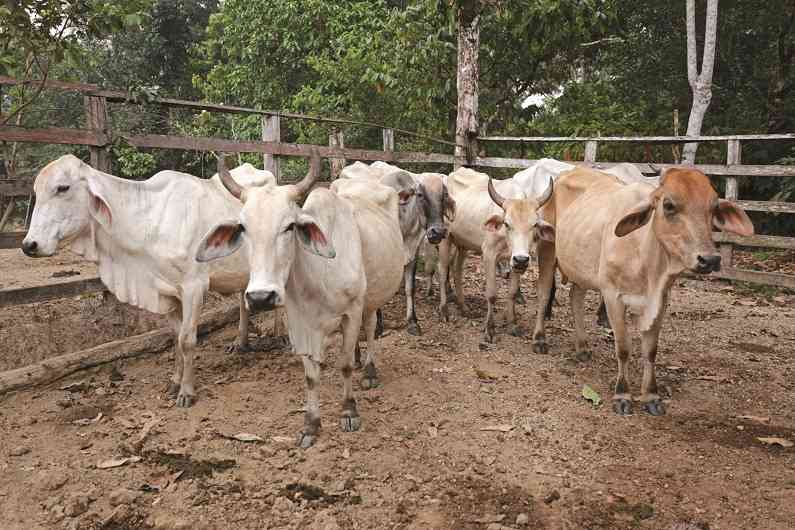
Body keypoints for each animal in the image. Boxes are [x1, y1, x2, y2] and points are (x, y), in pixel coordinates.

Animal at [21, 153, 274, 404]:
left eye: (62, 188)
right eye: (36, 191)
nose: (29, 245)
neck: (149, 222)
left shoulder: (194, 288)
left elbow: (187, 340)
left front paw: (186, 391)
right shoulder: (166, 292)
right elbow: (176, 337)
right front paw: (174, 382)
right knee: (243, 301)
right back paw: (240, 343)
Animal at [536, 167, 752, 414]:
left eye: (714, 207)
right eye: (669, 205)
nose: (710, 259)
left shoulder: (661, 299)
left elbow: (650, 350)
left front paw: (651, 395)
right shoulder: (612, 295)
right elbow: (623, 348)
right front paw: (622, 394)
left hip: (580, 267)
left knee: (575, 298)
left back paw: (582, 347)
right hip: (547, 250)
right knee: (544, 294)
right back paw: (539, 340)